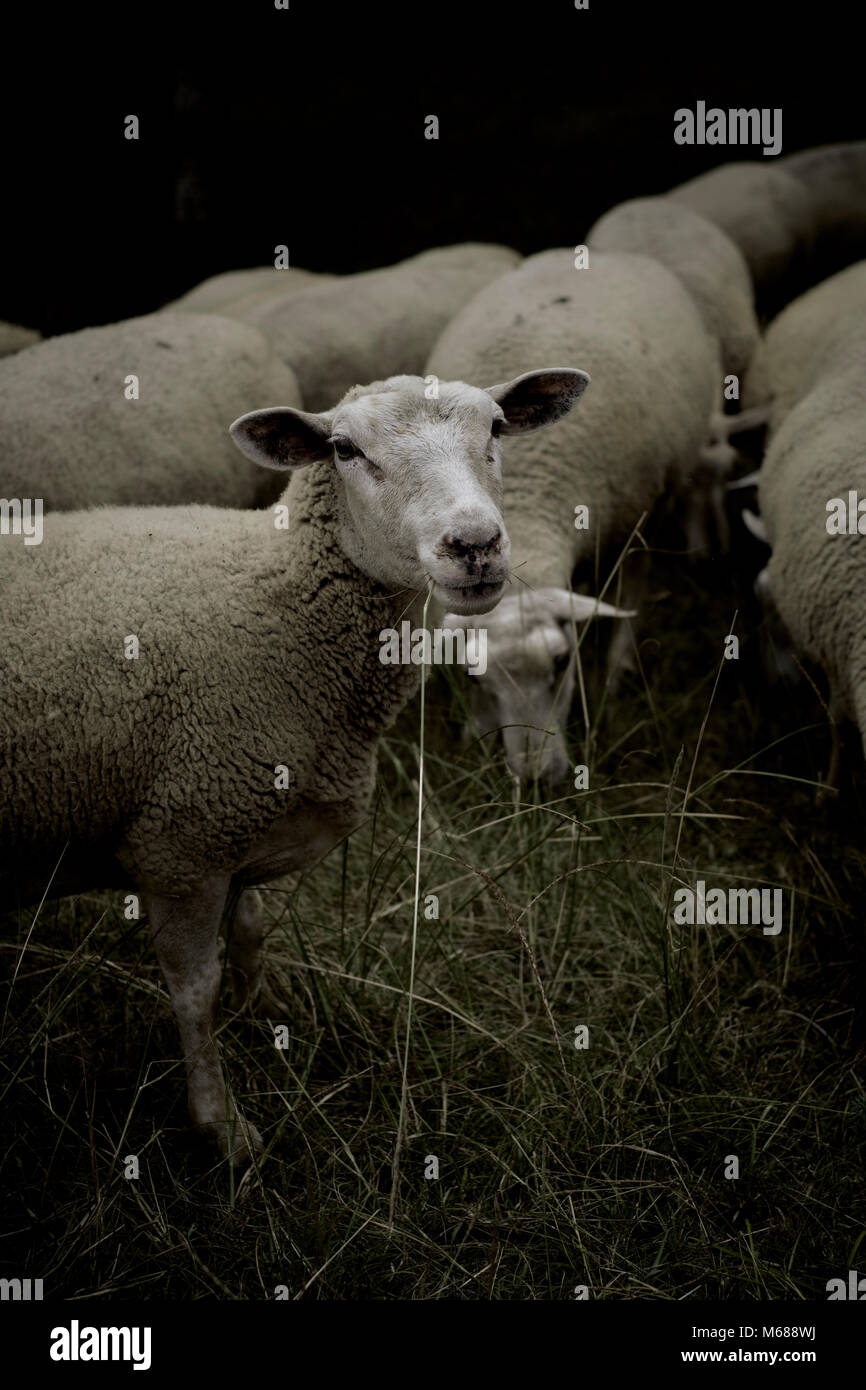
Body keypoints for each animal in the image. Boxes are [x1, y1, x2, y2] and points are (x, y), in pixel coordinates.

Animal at [0, 364, 586, 1156]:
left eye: (496, 427)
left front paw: (265, 1012)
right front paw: (221, 1124)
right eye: (343, 449)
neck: (278, 599)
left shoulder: (244, 819)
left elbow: (249, 931)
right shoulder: (180, 842)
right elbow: (195, 989)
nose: (474, 543)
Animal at [425, 248, 717, 783]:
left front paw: (615, 679)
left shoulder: (634, 520)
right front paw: (475, 731)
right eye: (476, 677)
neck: (528, 494)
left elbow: (629, 597)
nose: (537, 779)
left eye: (563, 662)